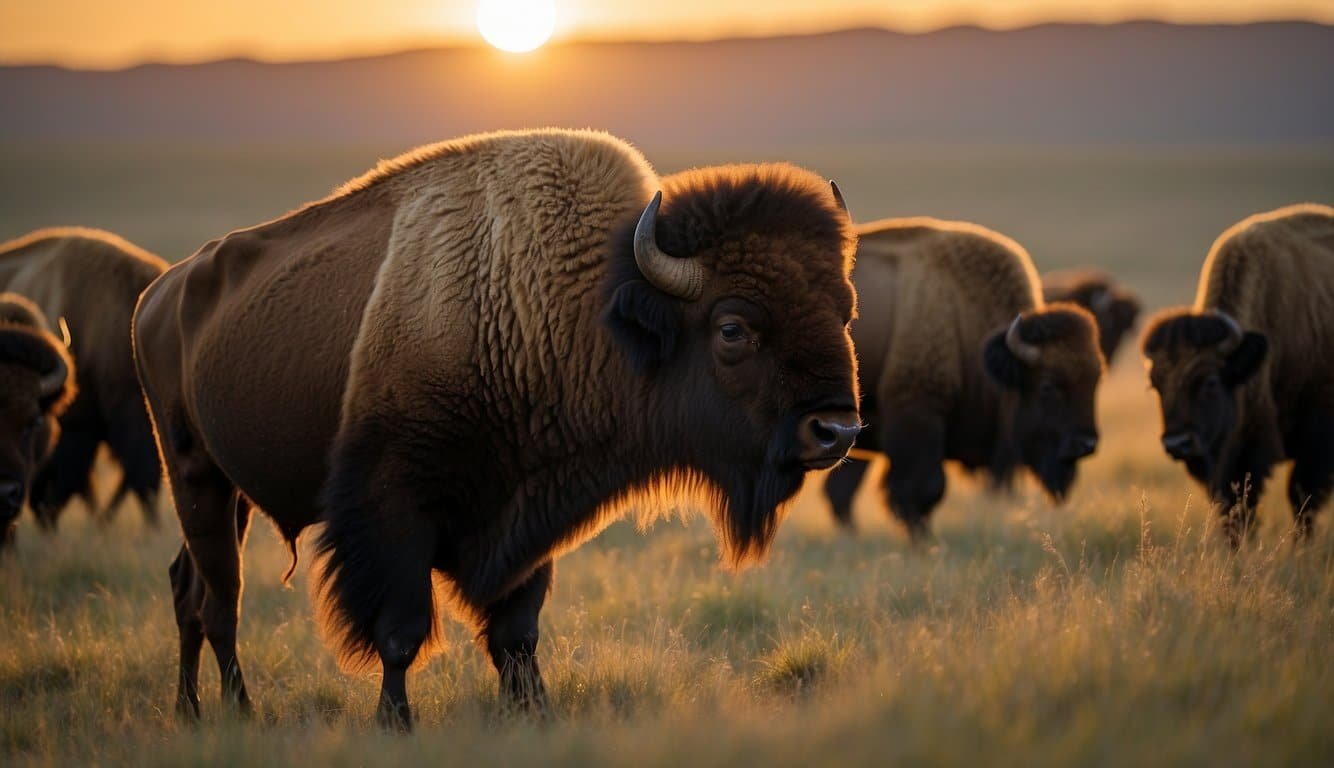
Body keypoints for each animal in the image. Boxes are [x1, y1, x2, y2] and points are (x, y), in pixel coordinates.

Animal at [135, 129, 859, 730]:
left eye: (845, 311)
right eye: (733, 329)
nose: (837, 429)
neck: (578, 311)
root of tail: (162, 291)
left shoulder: (527, 516)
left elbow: (517, 632)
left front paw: (533, 713)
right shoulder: (393, 511)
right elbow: (402, 630)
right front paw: (395, 723)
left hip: (230, 493)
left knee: (188, 587)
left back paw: (191, 712)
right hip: (195, 474)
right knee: (220, 600)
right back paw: (238, 711)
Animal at [821, 217, 1104, 538]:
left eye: (1095, 382)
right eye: (1047, 386)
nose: (1086, 444)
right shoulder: (918, 415)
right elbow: (922, 489)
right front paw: (924, 542)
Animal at [1136, 201, 1334, 544]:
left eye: (1211, 382)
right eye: (1155, 384)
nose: (1177, 443)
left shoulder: (1315, 441)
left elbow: (1301, 499)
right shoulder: (1233, 457)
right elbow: (1237, 508)